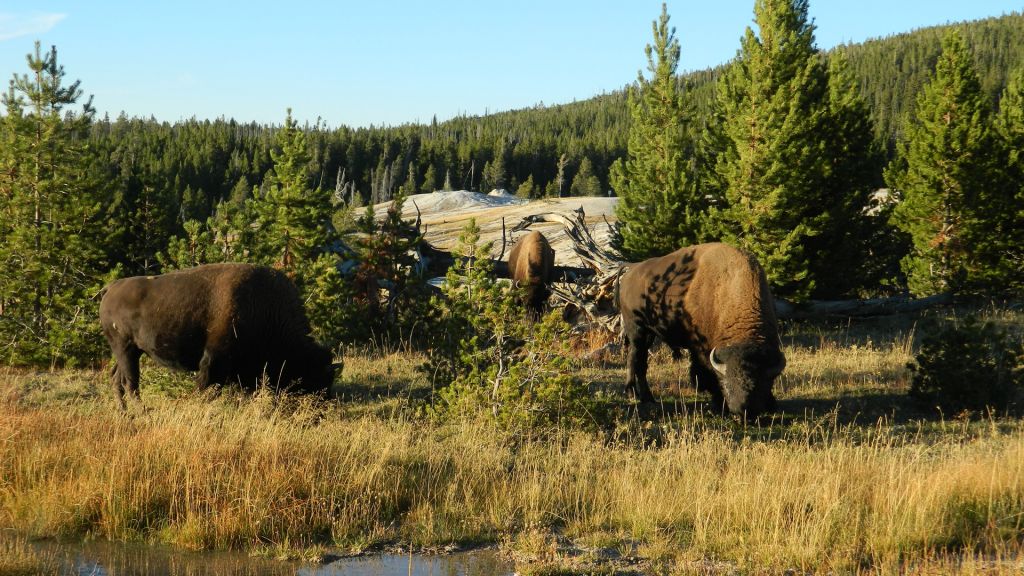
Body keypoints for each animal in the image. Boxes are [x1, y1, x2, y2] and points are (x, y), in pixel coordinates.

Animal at [99, 262, 333, 405]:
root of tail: (111, 287)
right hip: (125, 348)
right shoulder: (214, 360)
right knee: (131, 383)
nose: (318, 412)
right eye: (313, 374)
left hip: (130, 351)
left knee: (117, 379)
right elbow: (207, 389)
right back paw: (143, 413)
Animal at [610, 241, 786, 416]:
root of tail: (632, 269)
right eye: (727, 381)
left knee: (641, 362)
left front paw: (771, 403)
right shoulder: (701, 348)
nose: (743, 409)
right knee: (634, 358)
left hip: (649, 333)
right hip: (636, 329)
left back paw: (648, 398)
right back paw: (633, 393)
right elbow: (705, 372)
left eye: (762, 382)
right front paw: (718, 403)